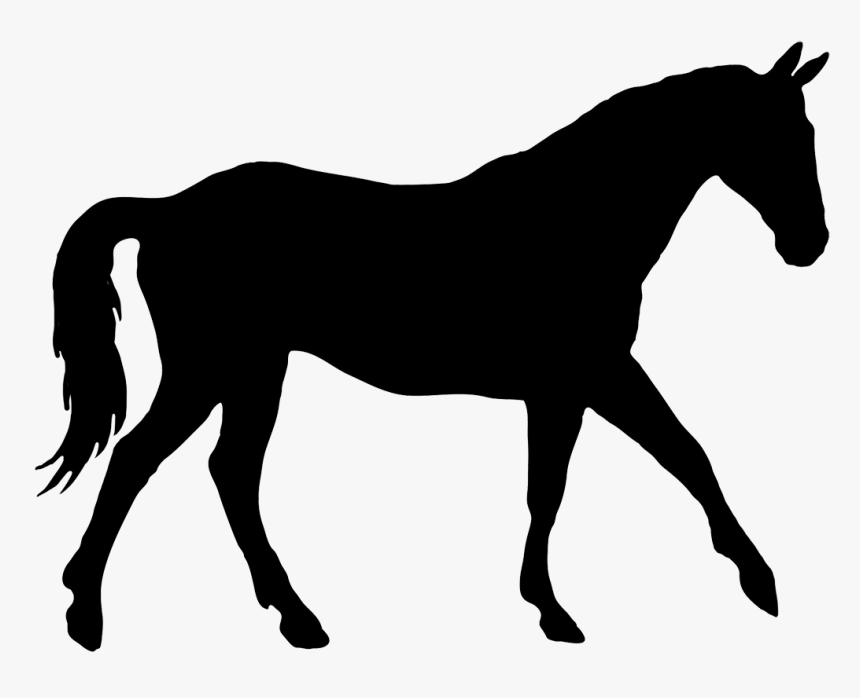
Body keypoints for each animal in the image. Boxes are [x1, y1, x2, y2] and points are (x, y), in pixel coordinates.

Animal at [38, 43, 829, 651]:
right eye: (776, 136)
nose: (811, 243)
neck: (578, 215)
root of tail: (166, 209)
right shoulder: (586, 378)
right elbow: (601, 477)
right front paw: (564, 610)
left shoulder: (578, 384)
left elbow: (661, 459)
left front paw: (749, 579)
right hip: (209, 371)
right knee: (141, 461)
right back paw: (87, 614)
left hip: (255, 372)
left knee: (230, 473)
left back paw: (295, 617)